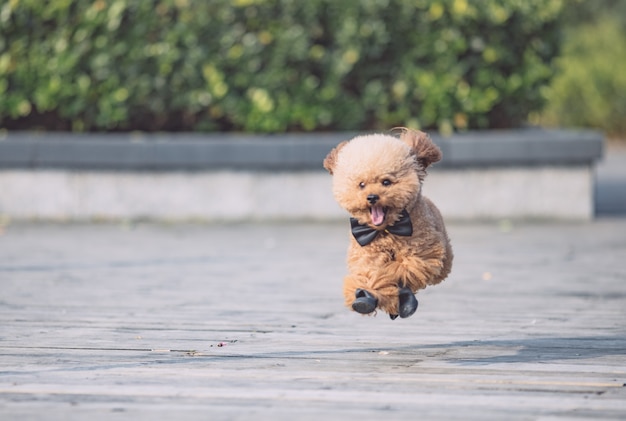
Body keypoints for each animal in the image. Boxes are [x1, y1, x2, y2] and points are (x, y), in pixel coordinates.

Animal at [324, 128, 450, 318]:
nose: (372, 197)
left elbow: (392, 271)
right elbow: (367, 273)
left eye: (386, 182)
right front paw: (364, 297)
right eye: (361, 184)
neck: (386, 231)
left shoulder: (419, 258)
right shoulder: (366, 254)